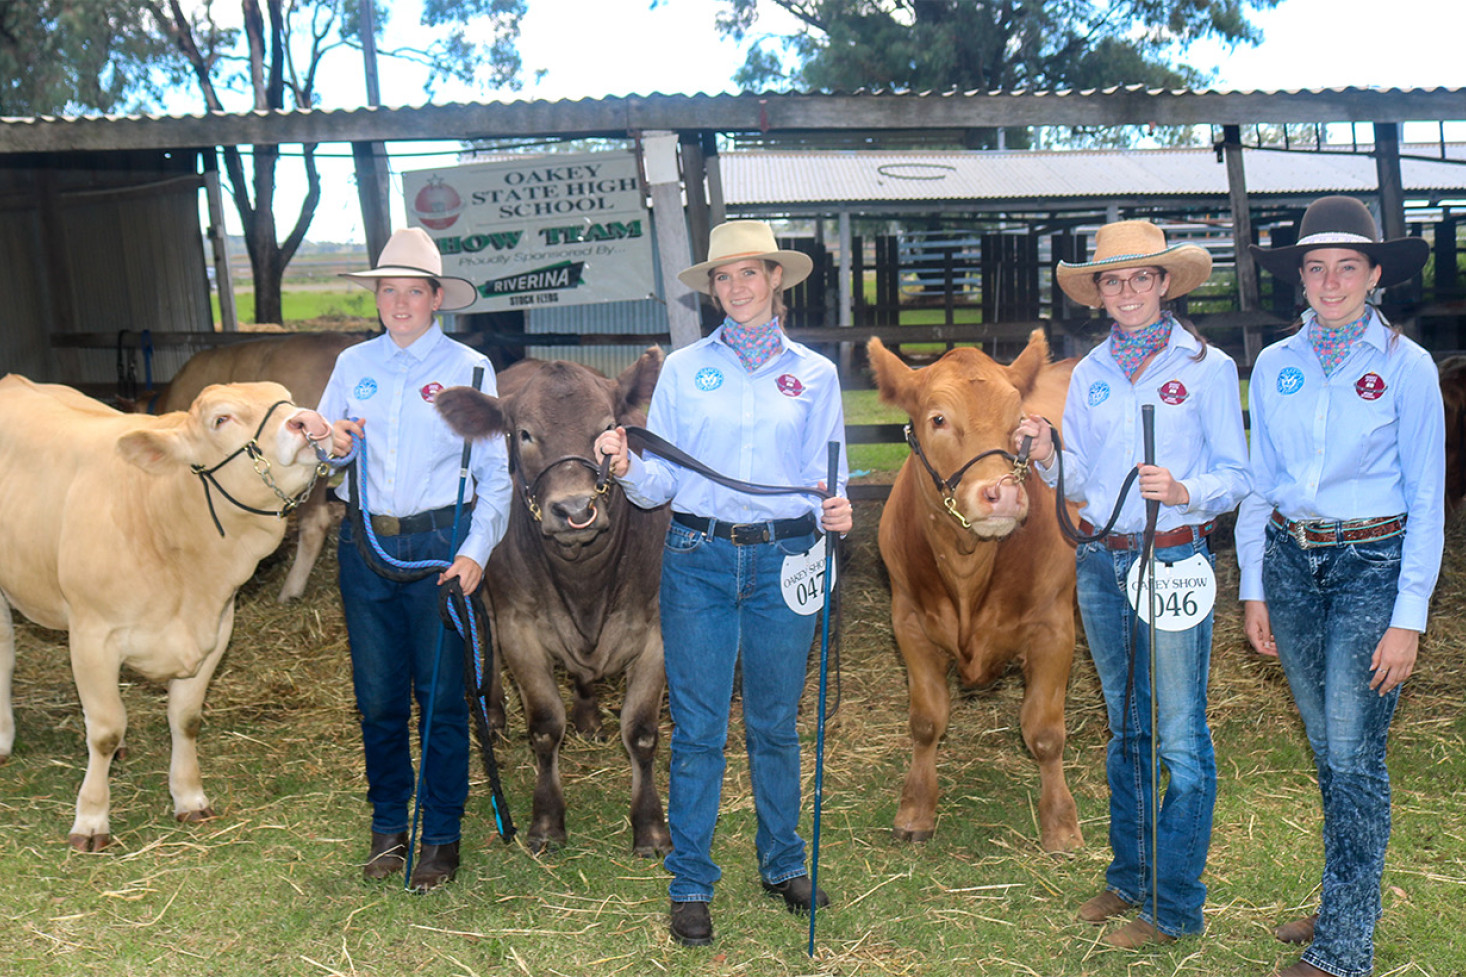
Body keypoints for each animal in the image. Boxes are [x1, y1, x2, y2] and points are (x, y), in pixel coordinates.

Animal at [2, 372, 329, 844]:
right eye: (221, 419)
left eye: (286, 398)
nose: (310, 421)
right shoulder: (93, 635)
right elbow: (104, 730)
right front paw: (91, 818)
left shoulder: (217, 628)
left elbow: (186, 719)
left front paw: (189, 798)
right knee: (6, 653)